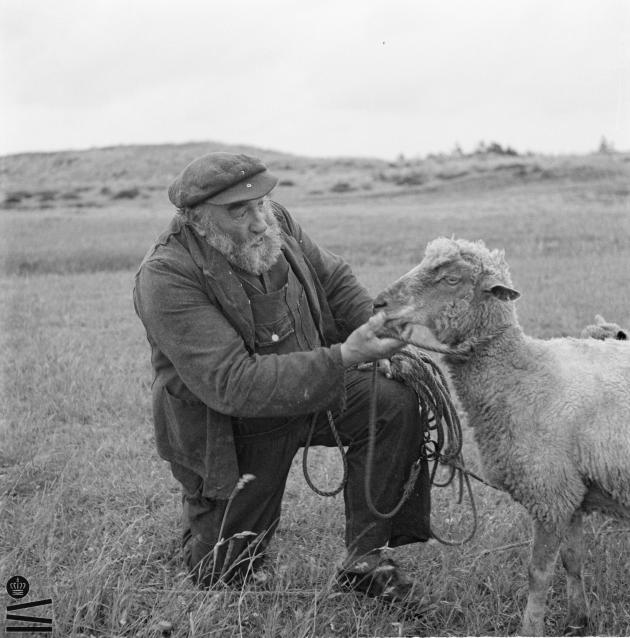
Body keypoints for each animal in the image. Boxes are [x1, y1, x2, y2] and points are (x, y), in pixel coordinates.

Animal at [376, 238, 630, 636]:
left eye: (451, 279)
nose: (379, 303)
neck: (522, 375)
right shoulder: (570, 492)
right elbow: (573, 560)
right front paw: (578, 620)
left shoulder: (549, 493)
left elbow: (538, 574)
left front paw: (530, 628)